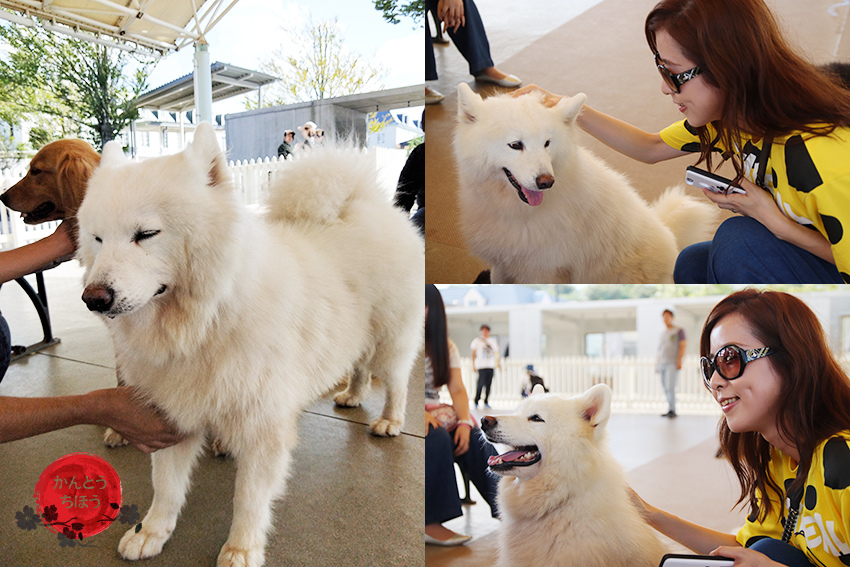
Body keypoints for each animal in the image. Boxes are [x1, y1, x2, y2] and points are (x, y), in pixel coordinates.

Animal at [75, 122, 424, 564]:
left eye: (146, 234)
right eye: (98, 238)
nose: (93, 298)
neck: (204, 322)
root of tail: (368, 205)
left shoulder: (263, 425)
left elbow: (249, 499)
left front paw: (241, 549)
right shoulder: (173, 414)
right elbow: (166, 487)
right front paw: (151, 532)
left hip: (389, 340)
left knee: (396, 382)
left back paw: (390, 421)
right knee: (359, 366)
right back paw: (352, 394)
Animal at [450, 84, 716, 284]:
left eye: (547, 143)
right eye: (516, 145)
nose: (546, 182)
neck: (515, 212)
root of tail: (672, 239)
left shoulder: (542, 271)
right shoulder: (502, 264)